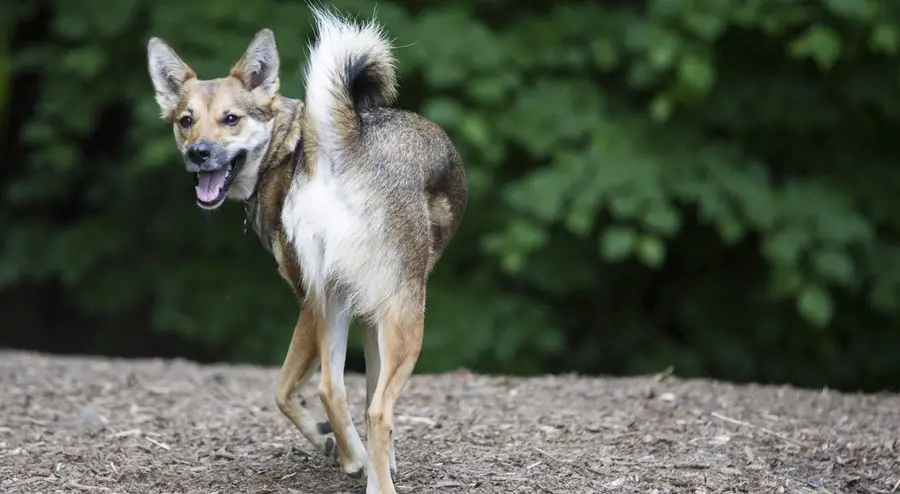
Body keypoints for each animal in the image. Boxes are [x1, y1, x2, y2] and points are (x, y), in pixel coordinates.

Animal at [144, 7, 468, 494]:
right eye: (187, 120)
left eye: (231, 119)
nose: (198, 152)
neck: (284, 148)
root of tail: (340, 150)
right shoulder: (333, 308)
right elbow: (298, 391)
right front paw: (354, 454)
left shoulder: (352, 311)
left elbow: (313, 390)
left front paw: (346, 448)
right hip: (398, 315)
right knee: (372, 407)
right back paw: (369, 473)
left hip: (333, 301)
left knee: (333, 390)